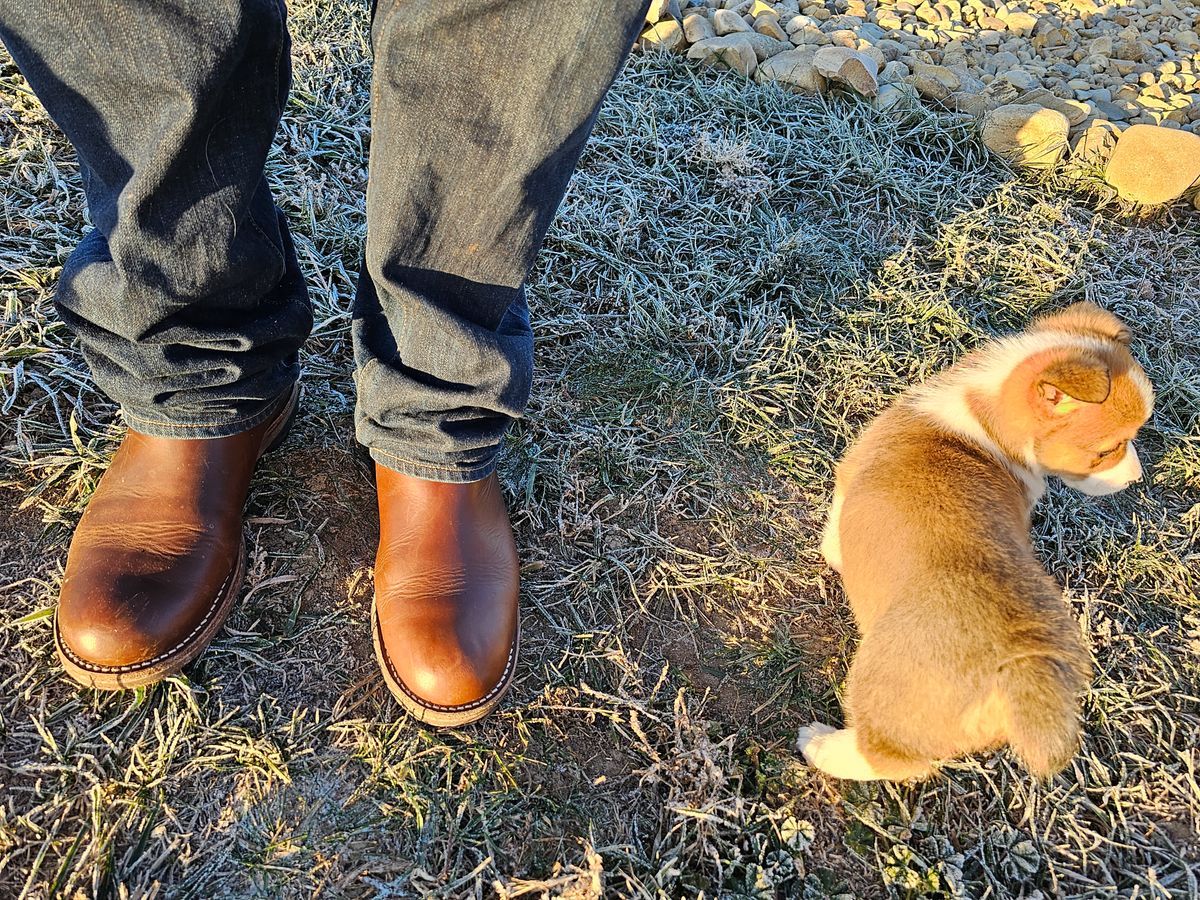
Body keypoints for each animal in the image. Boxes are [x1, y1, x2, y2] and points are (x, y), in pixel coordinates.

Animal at [796, 304, 1152, 782]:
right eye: (1107, 450)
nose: (1135, 479)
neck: (985, 421)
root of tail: (1020, 667)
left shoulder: (848, 476)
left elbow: (834, 528)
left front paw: (835, 556)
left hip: (878, 682)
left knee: (889, 758)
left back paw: (819, 744)